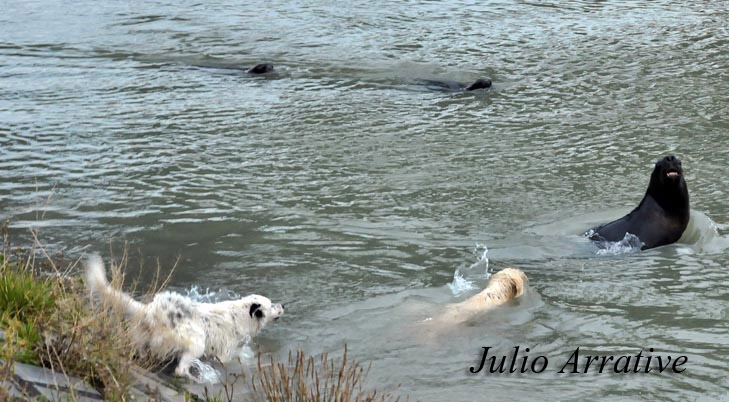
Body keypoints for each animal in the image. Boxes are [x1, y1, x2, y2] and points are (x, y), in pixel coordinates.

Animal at [82, 256, 282, 382]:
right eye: (271, 305)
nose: (282, 306)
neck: (240, 316)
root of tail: (150, 311)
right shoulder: (225, 353)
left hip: (142, 339)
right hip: (196, 341)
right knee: (180, 369)